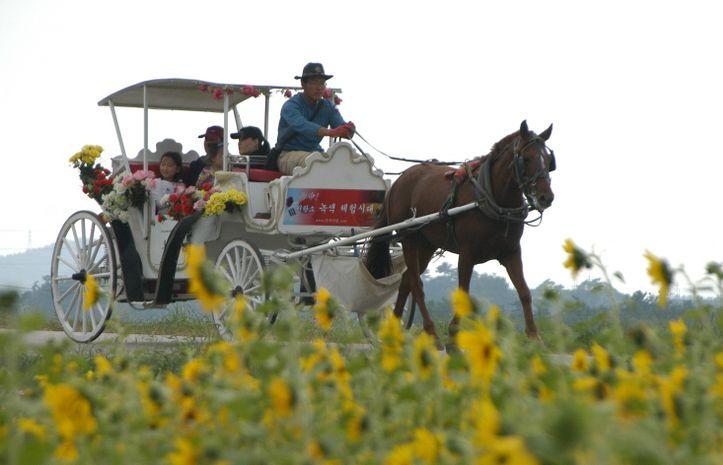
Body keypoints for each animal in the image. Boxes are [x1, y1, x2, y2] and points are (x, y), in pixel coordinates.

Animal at [364, 119, 556, 344]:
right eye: (526, 158)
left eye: (548, 160)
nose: (546, 197)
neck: (491, 200)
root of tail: (399, 181)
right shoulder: (467, 254)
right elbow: (463, 292)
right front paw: (453, 335)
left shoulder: (511, 252)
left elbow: (524, 292)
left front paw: (534, 336)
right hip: (409, 239)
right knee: (416, 285)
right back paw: (431, 332)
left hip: (427, 245)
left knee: (406, 282)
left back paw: (393, 332)